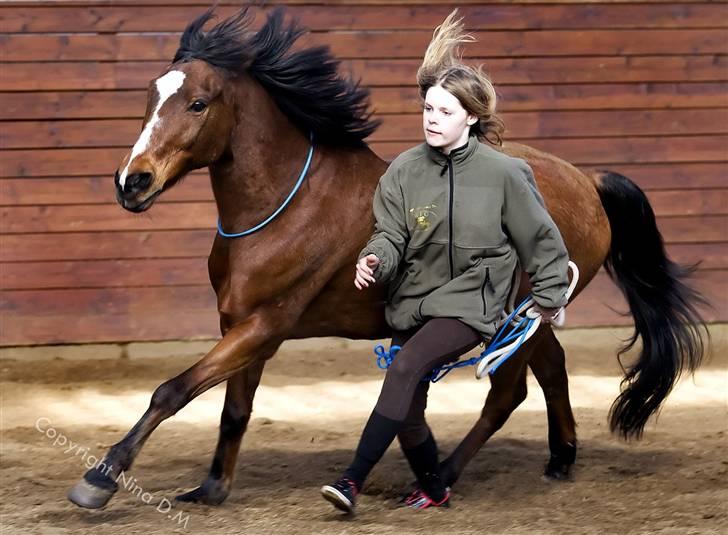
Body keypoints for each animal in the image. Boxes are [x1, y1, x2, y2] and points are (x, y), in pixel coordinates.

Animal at [68, 8, 704, 510]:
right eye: (149, 98)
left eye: (198, 104)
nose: (132, 182)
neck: (283, 206)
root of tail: (586, 182)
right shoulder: (242, 324)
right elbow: (233, 410)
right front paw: (210, 490)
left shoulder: (264, 325)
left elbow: (172, 391)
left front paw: (100, 479)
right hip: (529, 320)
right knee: (552, 371)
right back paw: (559, 460)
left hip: (511, 322)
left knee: (508, 394)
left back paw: (440, 477)